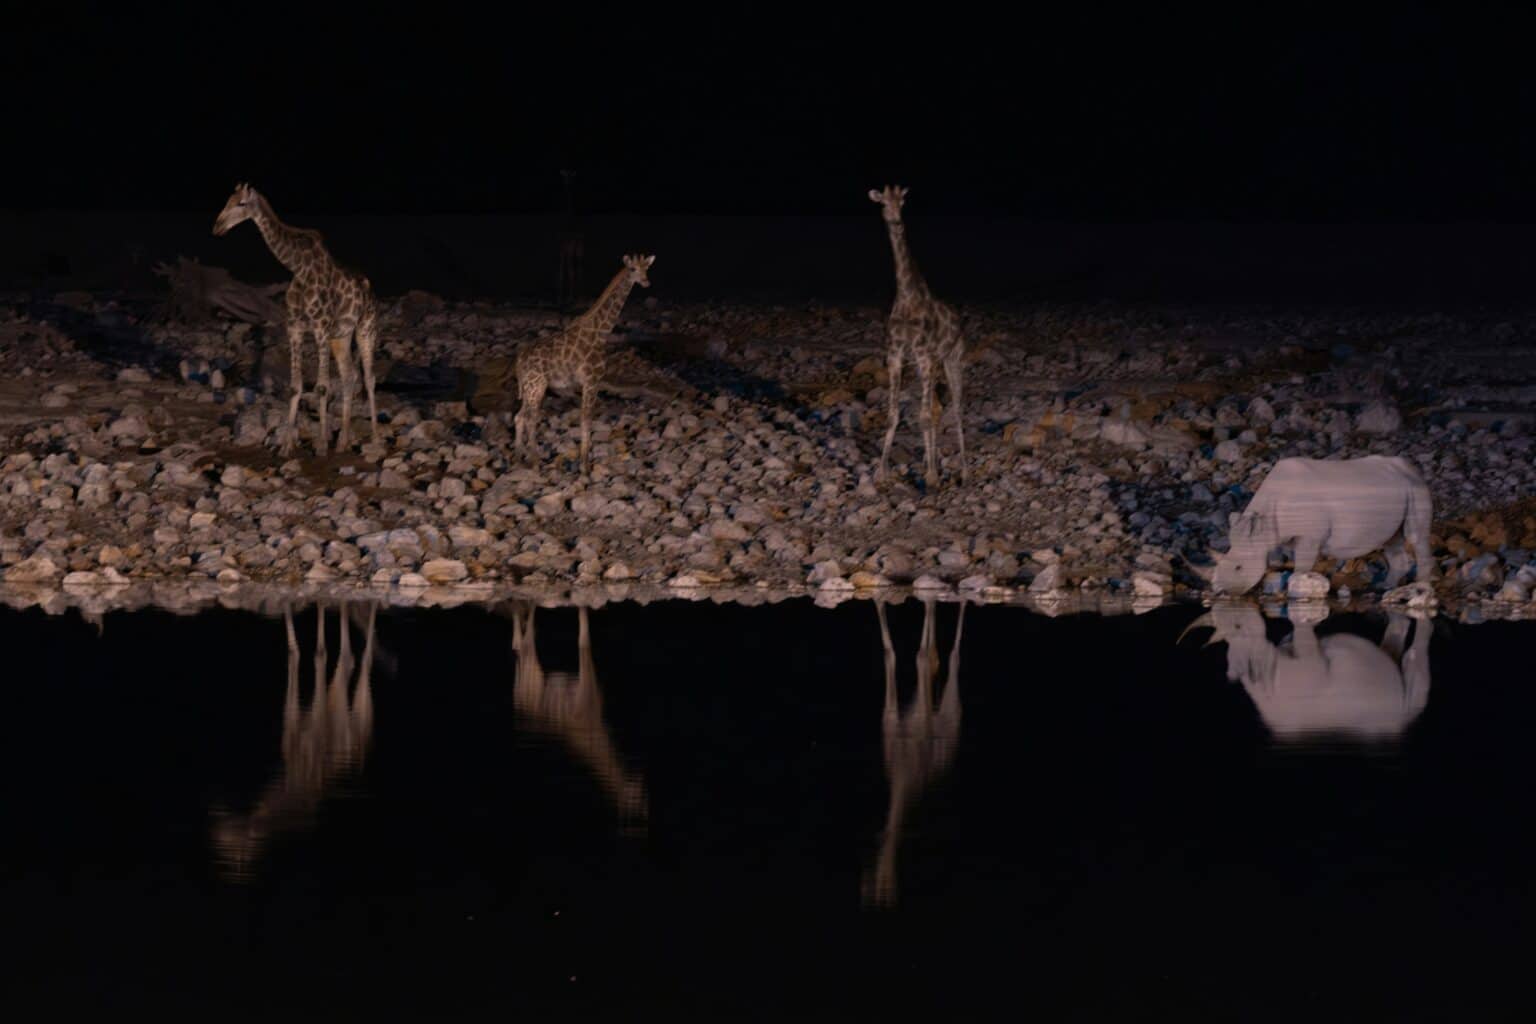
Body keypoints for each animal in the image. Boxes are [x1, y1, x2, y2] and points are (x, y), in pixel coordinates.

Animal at [213, 183, 380, 456]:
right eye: (228, 200)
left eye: (241, 204)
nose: (218, 227)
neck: (298, 268)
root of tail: (371, 289)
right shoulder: (294, 328)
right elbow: (295, 386)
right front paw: (286, 446)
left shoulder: (320, 328)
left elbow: (322, 386)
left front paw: (321, 445)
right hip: (341, 336)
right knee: (349, 375)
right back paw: (343, 441)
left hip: (366, 328)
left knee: (369, 378)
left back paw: (374, 438)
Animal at [504, 602, 648, 829]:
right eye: (634, 799)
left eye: (642, 798)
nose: (640, 780)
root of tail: (520, 700)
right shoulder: (584, 683)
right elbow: (584, 640)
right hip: (534, 671)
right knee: (526, 642)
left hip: (526, 675)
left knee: (518, 644)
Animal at [506, 253, 655, 475]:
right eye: (632, 269)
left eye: (646, 268)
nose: (646, 281)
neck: (601, 331)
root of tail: (519, 361)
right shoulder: (592, 380)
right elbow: (586, 419)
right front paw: (585, 466)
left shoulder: (588, 383)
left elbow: (585, 419)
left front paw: (584, 464)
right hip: (537, 386)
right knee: (531, 419)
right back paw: (534, 461)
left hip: (528, 387)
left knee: (520, 417)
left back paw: (518, 458)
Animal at [863, 596, 964, 909]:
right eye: (874, 884)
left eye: (884, 883)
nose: (868, 881)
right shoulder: (891, 718)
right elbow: (890, 651)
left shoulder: (921, 717)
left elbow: (920, 655)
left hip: (951, 707)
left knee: (954, 656)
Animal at [868, 185, 967, 487]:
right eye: (882, 203)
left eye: (901, 202)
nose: (896, 222)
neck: (908, 295)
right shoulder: (896, 354)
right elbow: (892, 415)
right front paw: (880, 473)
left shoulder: (924, 356)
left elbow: (923, 416)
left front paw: (933, 477)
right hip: (933, 365)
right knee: (936, 408)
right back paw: (927, 461)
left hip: (952, 359)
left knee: (956, 408)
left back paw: (964, 471)